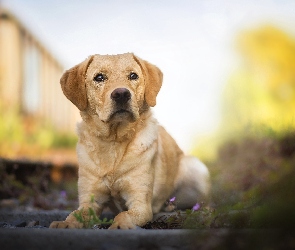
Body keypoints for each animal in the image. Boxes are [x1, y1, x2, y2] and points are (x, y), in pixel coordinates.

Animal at [49, 53, 210, 229]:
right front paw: (65, 223)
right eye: (99, 77)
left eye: (133, 76)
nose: (121, 94)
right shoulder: (90, 201)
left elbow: (124, 215)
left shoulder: (140, 203)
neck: (114, 141)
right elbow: (74, 215)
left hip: (196, 167)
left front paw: (118, 226)